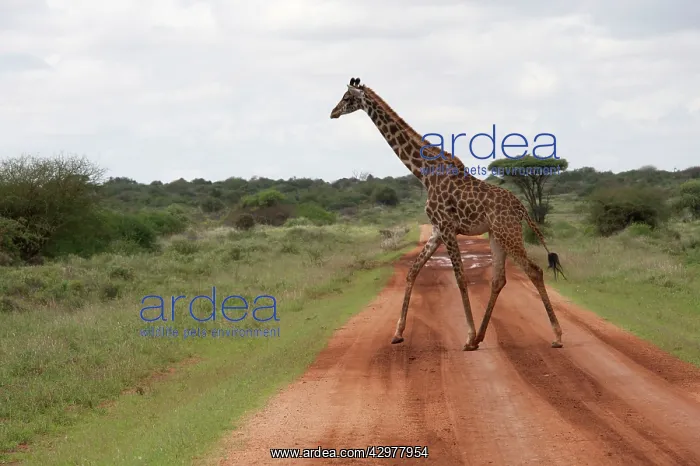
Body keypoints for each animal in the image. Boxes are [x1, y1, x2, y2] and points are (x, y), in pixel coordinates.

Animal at [330, 77, 565, 350]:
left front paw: (468, 336)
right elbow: (413, 271)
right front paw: (398, 333)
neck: (424, 173)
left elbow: (460, 277)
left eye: (347, 98)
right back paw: (482, 336)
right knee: (499, 279)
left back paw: (556, 336)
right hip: (496, 235)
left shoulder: (447, 226)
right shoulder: (436, 229)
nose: (333, 112)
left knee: (534, 270)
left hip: (508, 232)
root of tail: (521, 208)